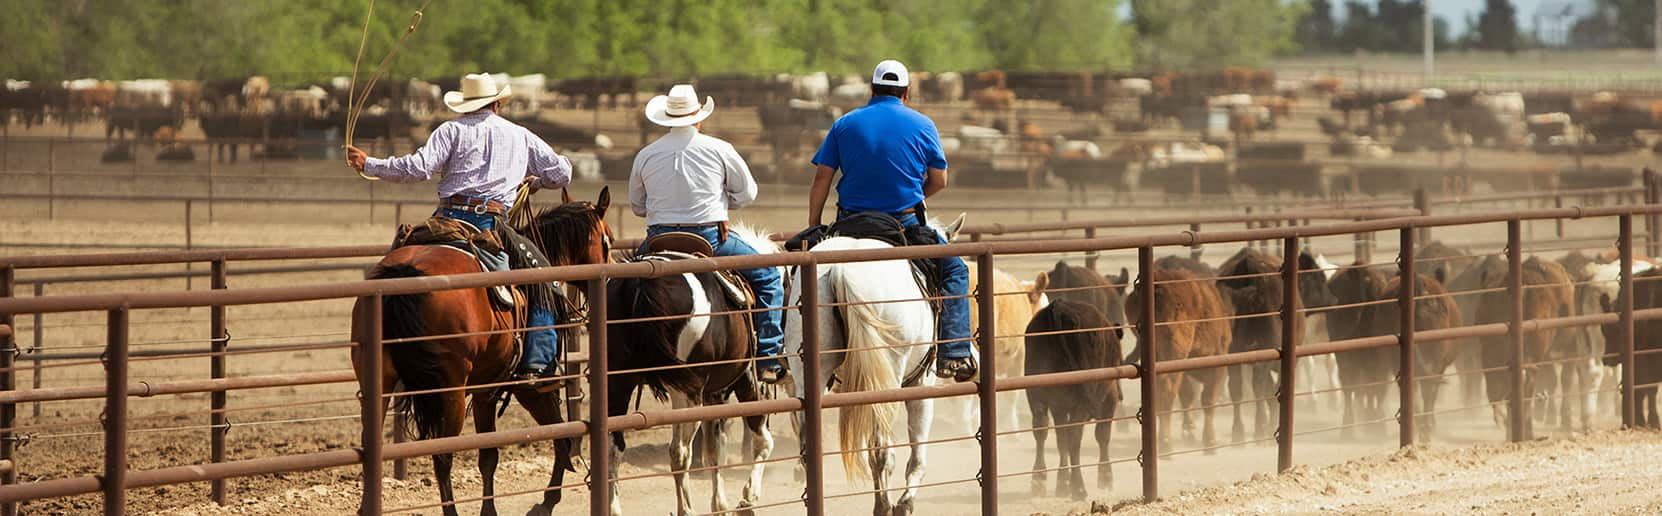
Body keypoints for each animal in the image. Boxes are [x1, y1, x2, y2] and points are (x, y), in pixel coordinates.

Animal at [354, 187, 614, 516]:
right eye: (608, 240)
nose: (609, 279)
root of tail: (404, 274)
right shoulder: (532, 386)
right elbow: (559, 435)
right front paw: (546, 501)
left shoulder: (485, 389)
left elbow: (489, 455)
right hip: (450, 390)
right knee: (442, 456)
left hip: (379, 383)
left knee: (370, 446)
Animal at [601, 226, 774, 516]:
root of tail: (641, 282)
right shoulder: (746, 379)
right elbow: (761, 439)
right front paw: (747, 499)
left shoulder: (715, 394)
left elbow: (716, 450)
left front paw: (720, 505)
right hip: (687, 391)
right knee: (679, 452)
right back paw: (687, 509)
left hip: (618, 384)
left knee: (614, 447)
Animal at [784, 226, 970, 516]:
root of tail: (840, 270)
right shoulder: (921, 383)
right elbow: (917, 452)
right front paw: (905, 502)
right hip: (887, 381)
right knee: (882, 450)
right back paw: (884, 505)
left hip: (809, 371)